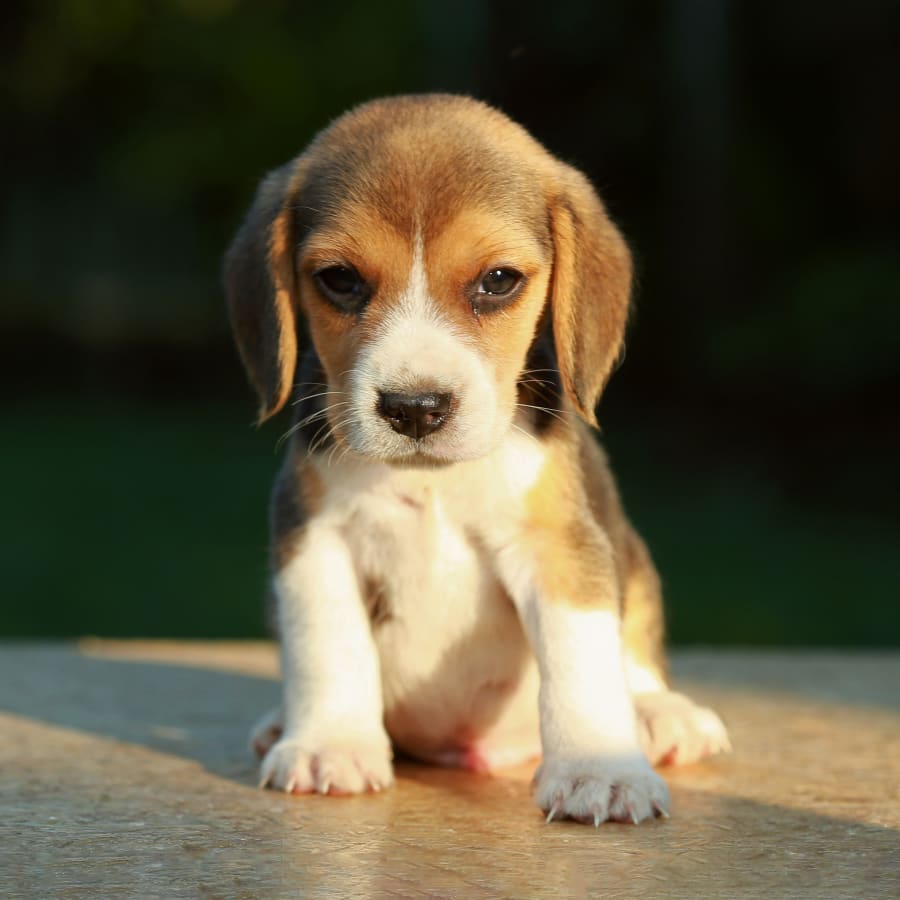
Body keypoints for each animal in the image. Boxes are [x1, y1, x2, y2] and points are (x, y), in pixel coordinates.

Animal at [225, 93, 732, 824]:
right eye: (340, 280)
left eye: (498, 281)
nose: (414, 408)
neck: (435, 484)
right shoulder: (313, 541)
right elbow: (329, 645)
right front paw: (329, 744)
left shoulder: (559, 547)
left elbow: (581, 661)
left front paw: (599, 769)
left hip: (630, 557)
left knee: (632, 654)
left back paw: (660, 717)